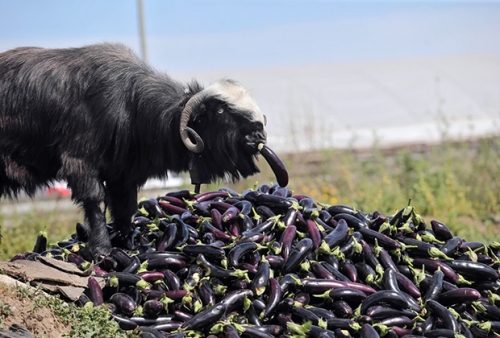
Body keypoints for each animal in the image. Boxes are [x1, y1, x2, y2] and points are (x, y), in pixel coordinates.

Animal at [0, 43, 270, 258]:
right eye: (221, 111)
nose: (259, 136)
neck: (132, 106)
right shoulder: (80, 161)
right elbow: (94, 200)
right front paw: (102, 249)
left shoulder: (124, 173)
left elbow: (124, 207)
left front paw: (129, 241)